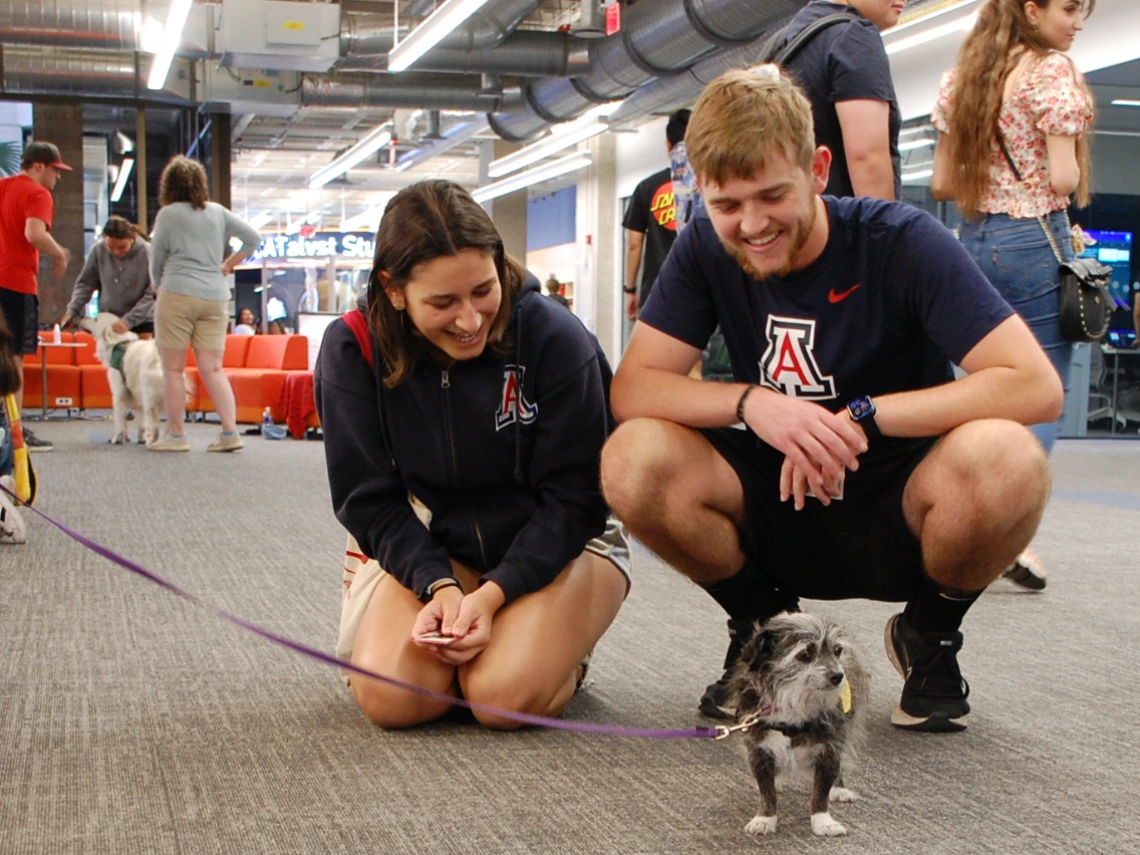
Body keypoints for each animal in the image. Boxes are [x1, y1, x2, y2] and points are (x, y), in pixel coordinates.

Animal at [80, 314, 166, 449]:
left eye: (96, 319)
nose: (81, 317)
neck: (118, 343)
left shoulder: (119, 393)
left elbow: (120, 418)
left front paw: (118, 438)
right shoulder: (137, 394)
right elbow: (141, 422)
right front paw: (140, 438)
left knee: (154, 424)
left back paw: (153, 442)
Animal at [725, 611, 866, 839]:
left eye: (837, 650)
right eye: (805, 653)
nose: (838, 676)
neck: (795, 700)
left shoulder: (830, 749)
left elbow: (820, 792)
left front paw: (824, 822)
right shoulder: (758, 750)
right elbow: (767, 792)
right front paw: (764, 818)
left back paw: (839, 789)